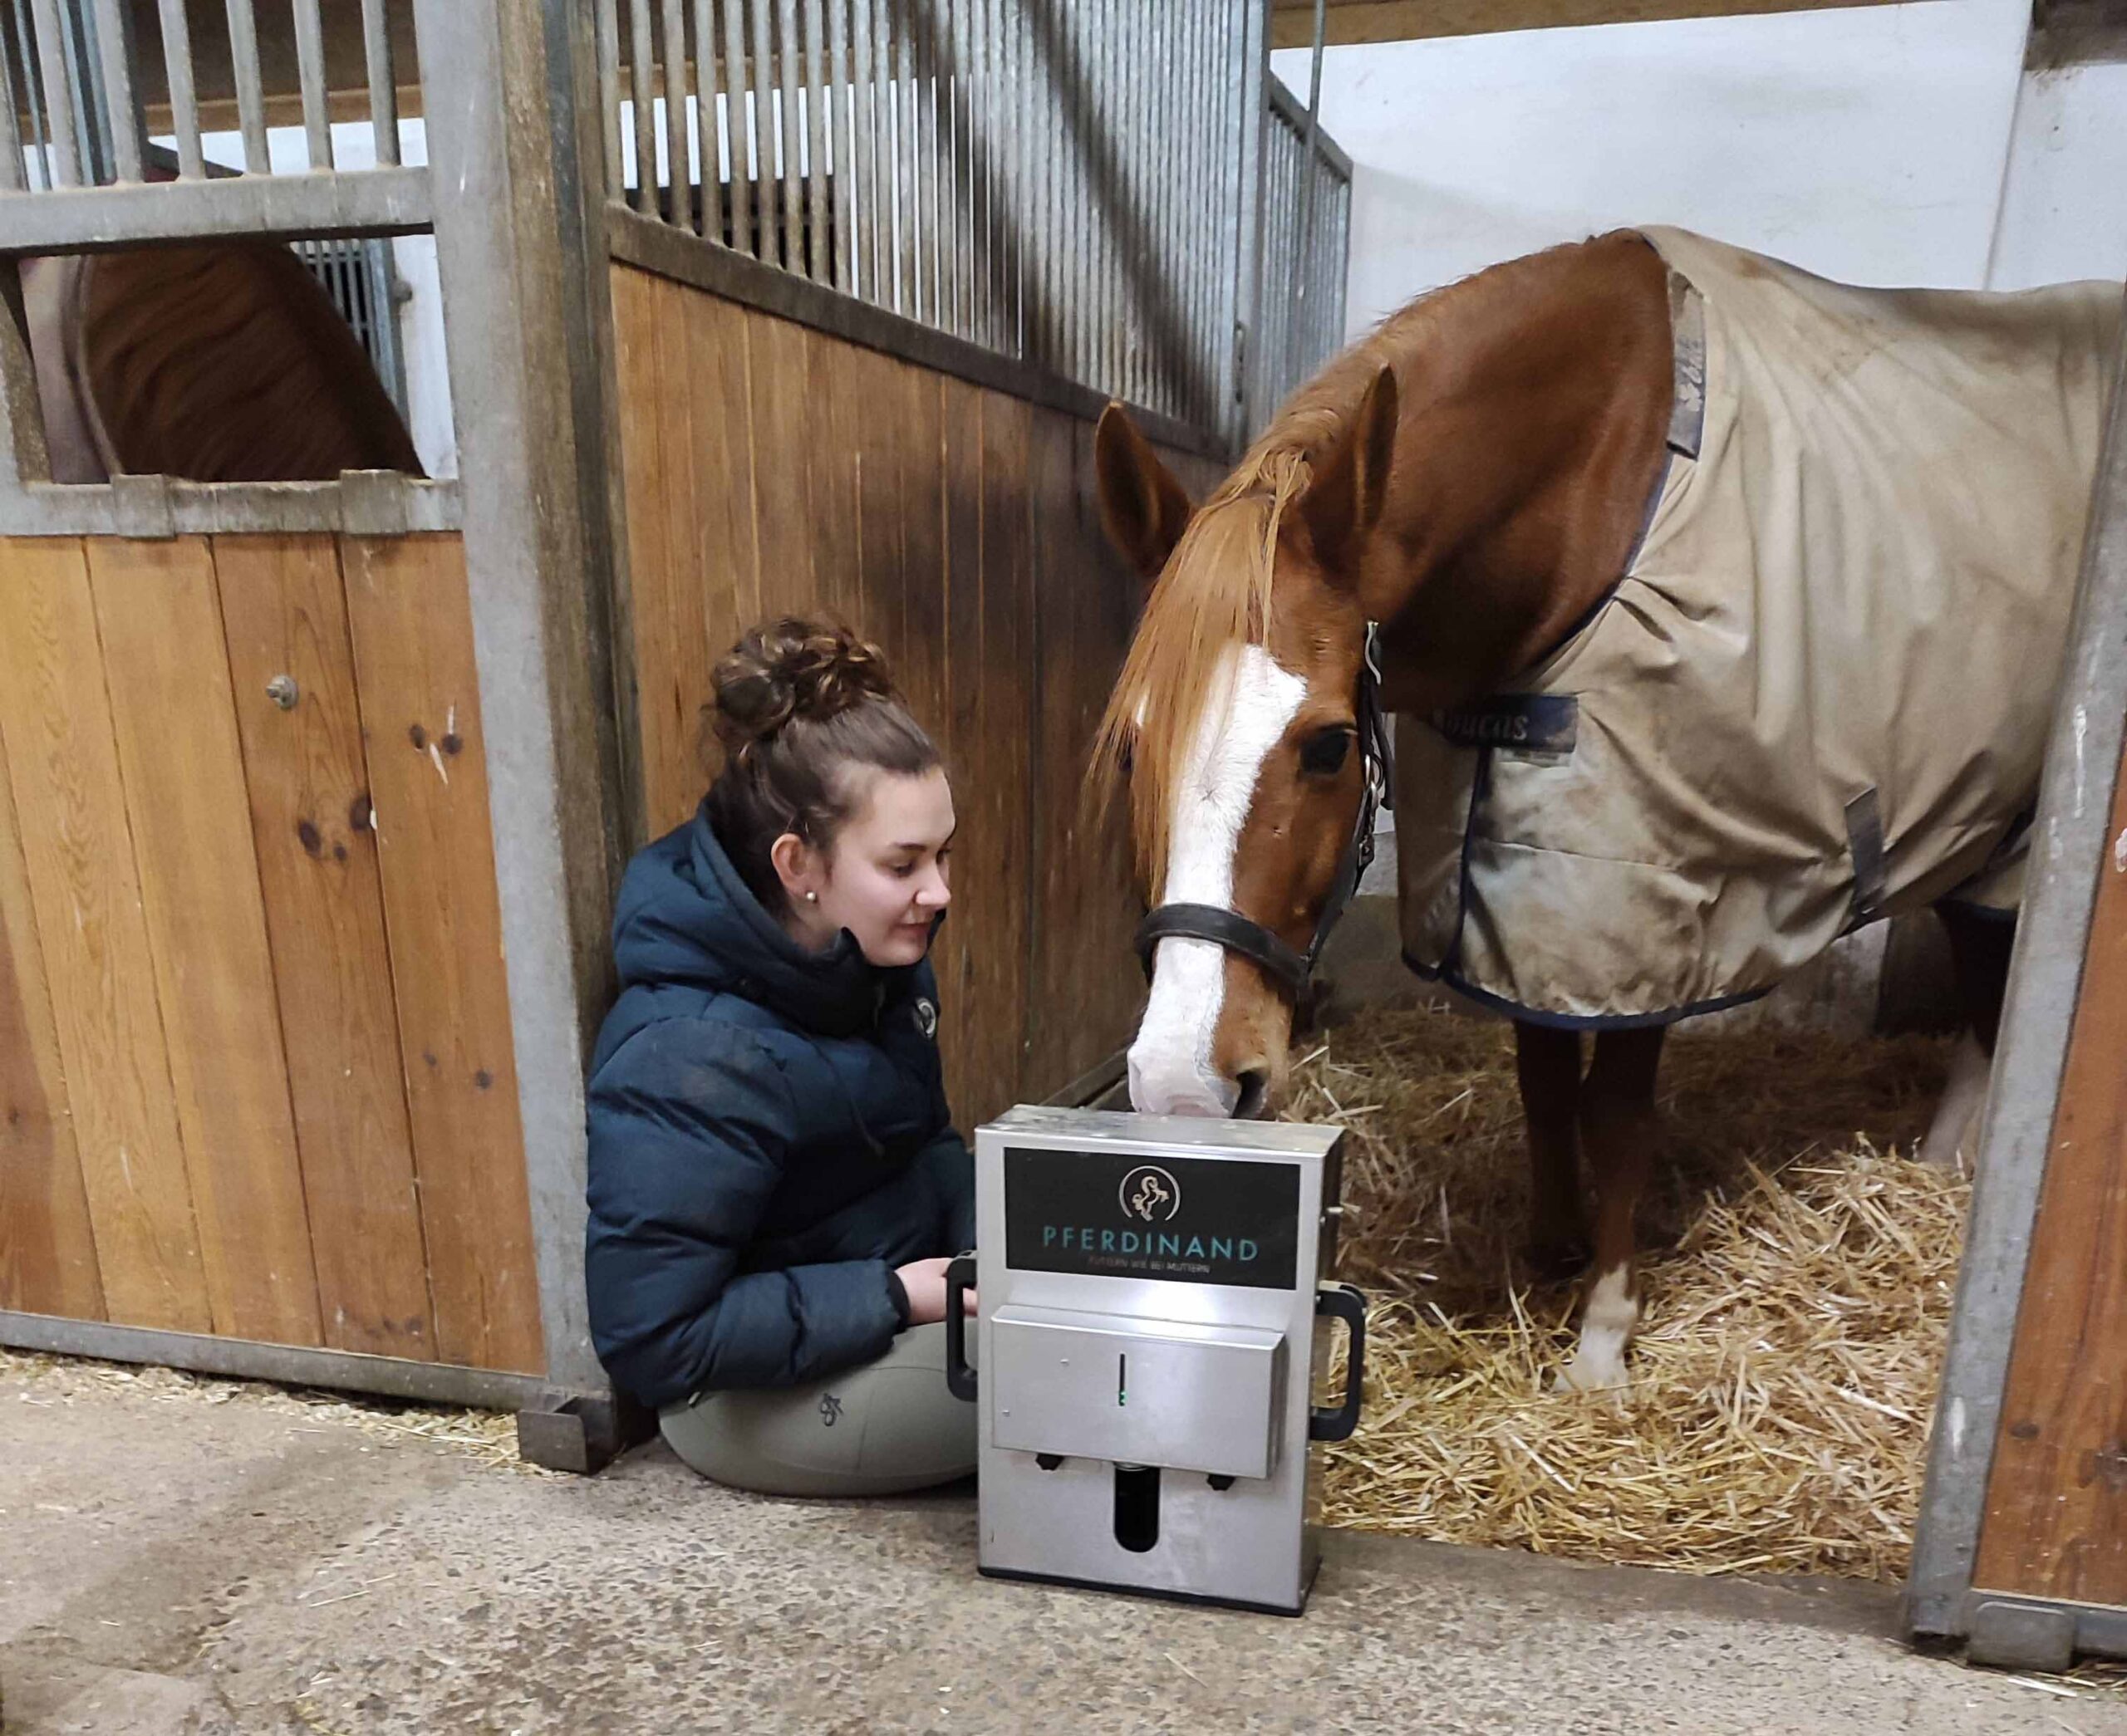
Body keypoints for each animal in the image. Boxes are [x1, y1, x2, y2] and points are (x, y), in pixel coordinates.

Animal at [1088, 228, 2118, 1395]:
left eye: (1329, 743)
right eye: (1130, 745)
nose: (1180, 1085)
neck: (1598, 487)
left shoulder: (1656, 906)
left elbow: (1616, 1116)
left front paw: (1602, 1335)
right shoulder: (1518, 886)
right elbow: (1543, 1079)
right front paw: (1552, 1247)